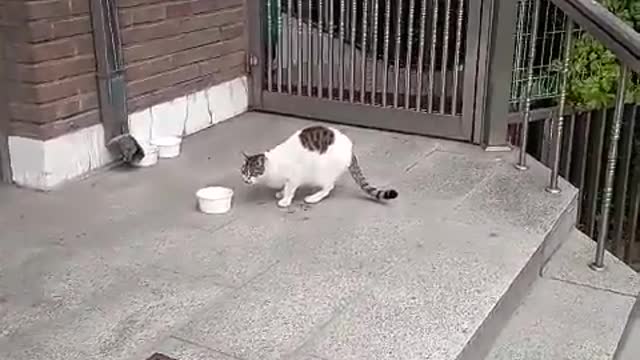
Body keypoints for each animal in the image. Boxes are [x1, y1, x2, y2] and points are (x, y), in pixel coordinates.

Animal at [240, 124, 398, 207]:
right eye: (243, 172)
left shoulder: (294, 176)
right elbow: (285, 187)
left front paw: (285, 199)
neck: (273, 166)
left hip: (322, 171)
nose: (246, 180)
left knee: (328, 187)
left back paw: (313, 198)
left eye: (252, 172)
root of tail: (350, 148)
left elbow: (290, 188)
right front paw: (281, 192)